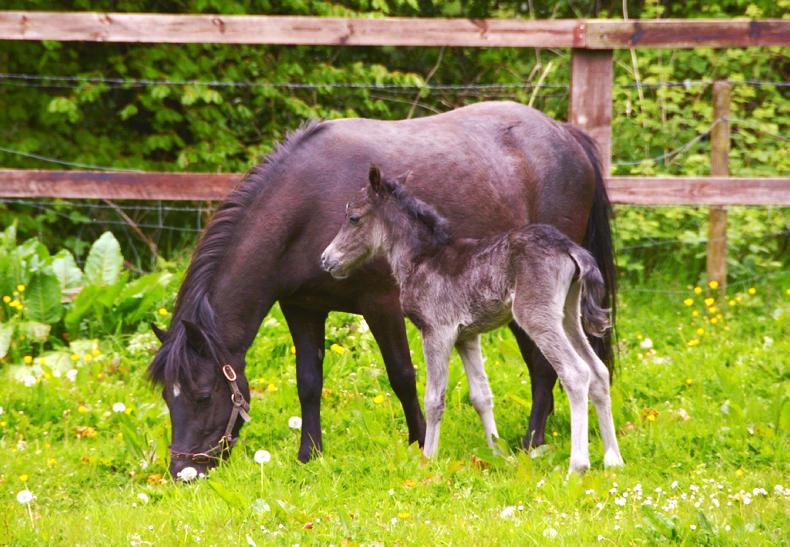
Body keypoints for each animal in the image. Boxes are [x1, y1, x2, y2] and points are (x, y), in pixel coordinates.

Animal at [320, 166, 624, 474]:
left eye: (354, 218)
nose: (326, 260)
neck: (422, 259)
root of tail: (569, 249)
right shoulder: (467, 336)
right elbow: (481, 395)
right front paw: (497, 452)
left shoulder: (437, 331)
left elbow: (434, 399)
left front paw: (428, 459)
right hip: (569, 316)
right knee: (599, 372)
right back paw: (613, 459)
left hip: (537, 317)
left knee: (576, 373)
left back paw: (578, 465)